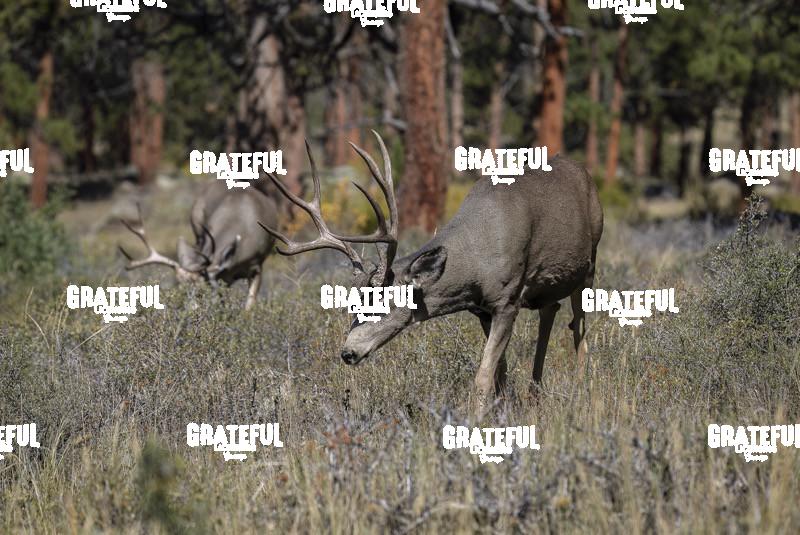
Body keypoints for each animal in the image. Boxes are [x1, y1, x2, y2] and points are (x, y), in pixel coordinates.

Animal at [260, 131, 603, 413]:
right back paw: (535, 393)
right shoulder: (483, 311)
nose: (347, 352)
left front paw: (477, 423)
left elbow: (483, 377)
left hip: (590, 264)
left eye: (383, 305)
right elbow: (500, 374)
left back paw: (581, 389)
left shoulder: (507, 300)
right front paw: (504, 412)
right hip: (550, 282)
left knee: (579, 327)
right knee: (551, 310)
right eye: (353, 306)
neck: (476, 258)